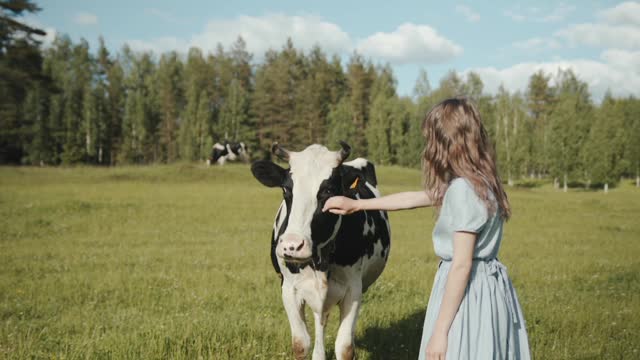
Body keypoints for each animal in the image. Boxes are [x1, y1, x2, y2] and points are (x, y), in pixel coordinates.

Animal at [250, 142, 390, 360]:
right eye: (286, 189)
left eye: (328, 191)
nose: (292, 246)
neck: (320, 260)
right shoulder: (288, 289)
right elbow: (301, 344)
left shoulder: (353, 289)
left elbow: (345, 347)